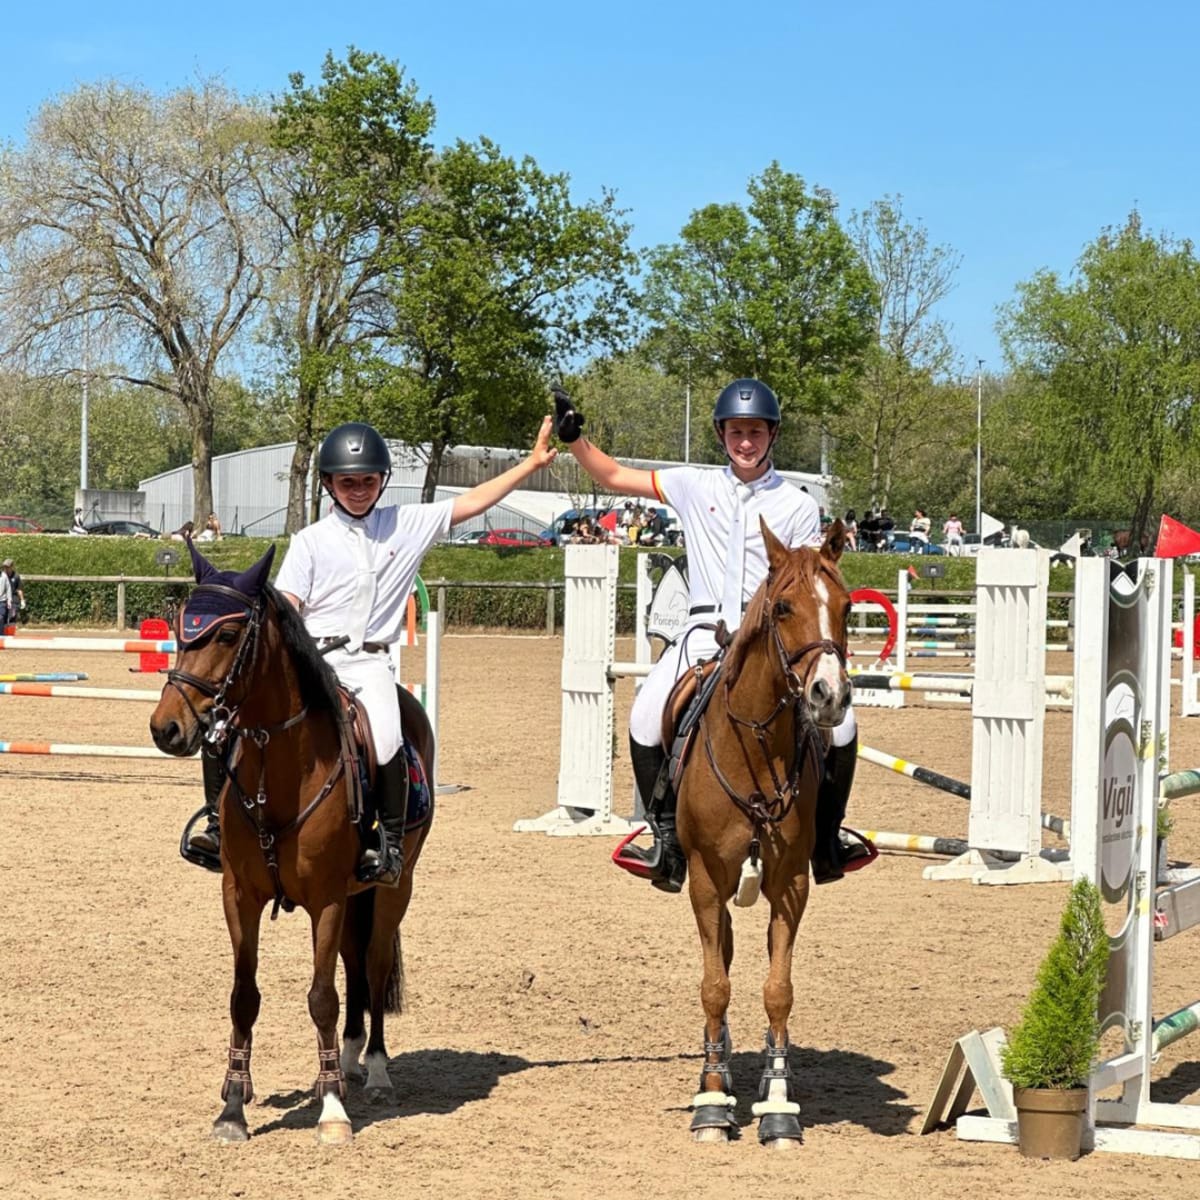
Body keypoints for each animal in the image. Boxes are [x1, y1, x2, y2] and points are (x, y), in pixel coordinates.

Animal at [148, 542, 435, 1145]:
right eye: (183, 627)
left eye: (228, 635)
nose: (167, 728)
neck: (279, 770)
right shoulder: (240, 895)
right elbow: (244, 997)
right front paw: (234, 1106)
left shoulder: (326, 898)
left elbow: (322, 998)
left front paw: (331, 1110)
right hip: (353, 898)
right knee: (354, 964)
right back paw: (345, 1061)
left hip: (392, 889)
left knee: (372, 965)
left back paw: (373, 1069)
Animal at [674, 518, 852, 1149]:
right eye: (782, 607)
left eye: (848, 606)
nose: (830, 695)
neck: (753, 745)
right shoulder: (705, 880)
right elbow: (714, 986)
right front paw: (711, 1100)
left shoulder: (790, 884)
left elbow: (779, 990)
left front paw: (777, 1106)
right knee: (721, 957)